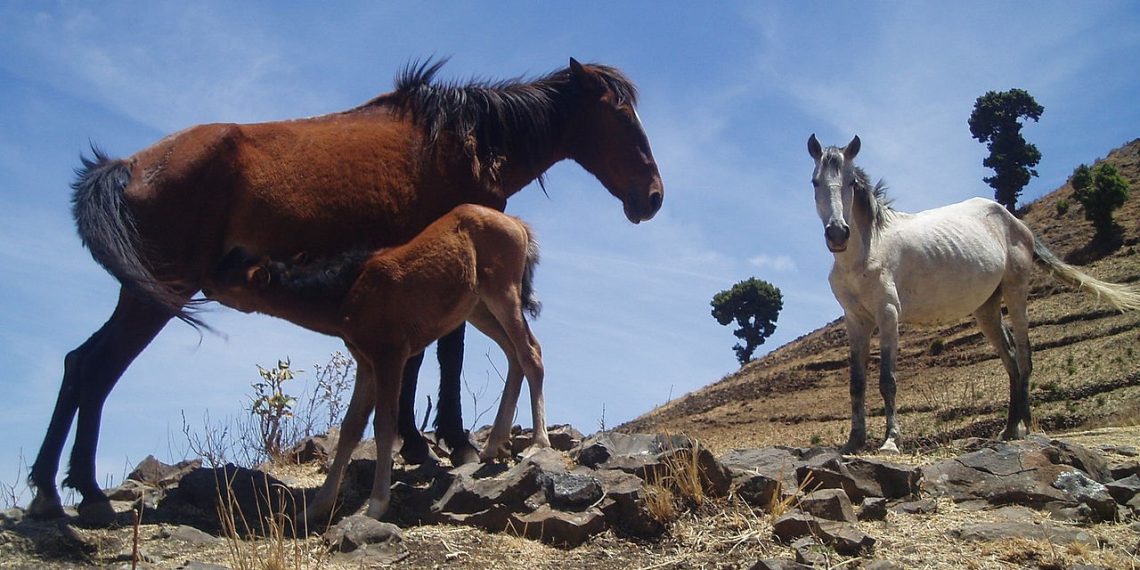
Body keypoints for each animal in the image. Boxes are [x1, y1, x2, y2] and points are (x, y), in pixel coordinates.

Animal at [208, 203, 546, 521]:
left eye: (231, 281)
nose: (205, 285)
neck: (347, 290)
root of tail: (517, 223)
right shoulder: (366, 362)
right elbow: (350, 428)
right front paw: (317, 507)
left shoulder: (390, 356)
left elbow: (384, 424)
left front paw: (376, 505)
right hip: (477, 308)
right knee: (514, 354)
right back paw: (494, 444)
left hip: (502, 292)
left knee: (531, 353)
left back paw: (538, 443)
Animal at [807, 134, 1140, 454]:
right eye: (815, 181)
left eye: (851, 181)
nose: (838, 233)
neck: (867, 251)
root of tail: (1016, 222)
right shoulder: (857, 321)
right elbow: (857, 383)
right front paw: (854, 441)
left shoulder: (888, 314)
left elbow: (887, 380)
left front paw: (891, 441)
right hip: (986, 309)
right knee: (1010, 359)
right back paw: (1009, 429)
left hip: (1016, 292)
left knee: (1024, 356)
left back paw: (1025, 428)